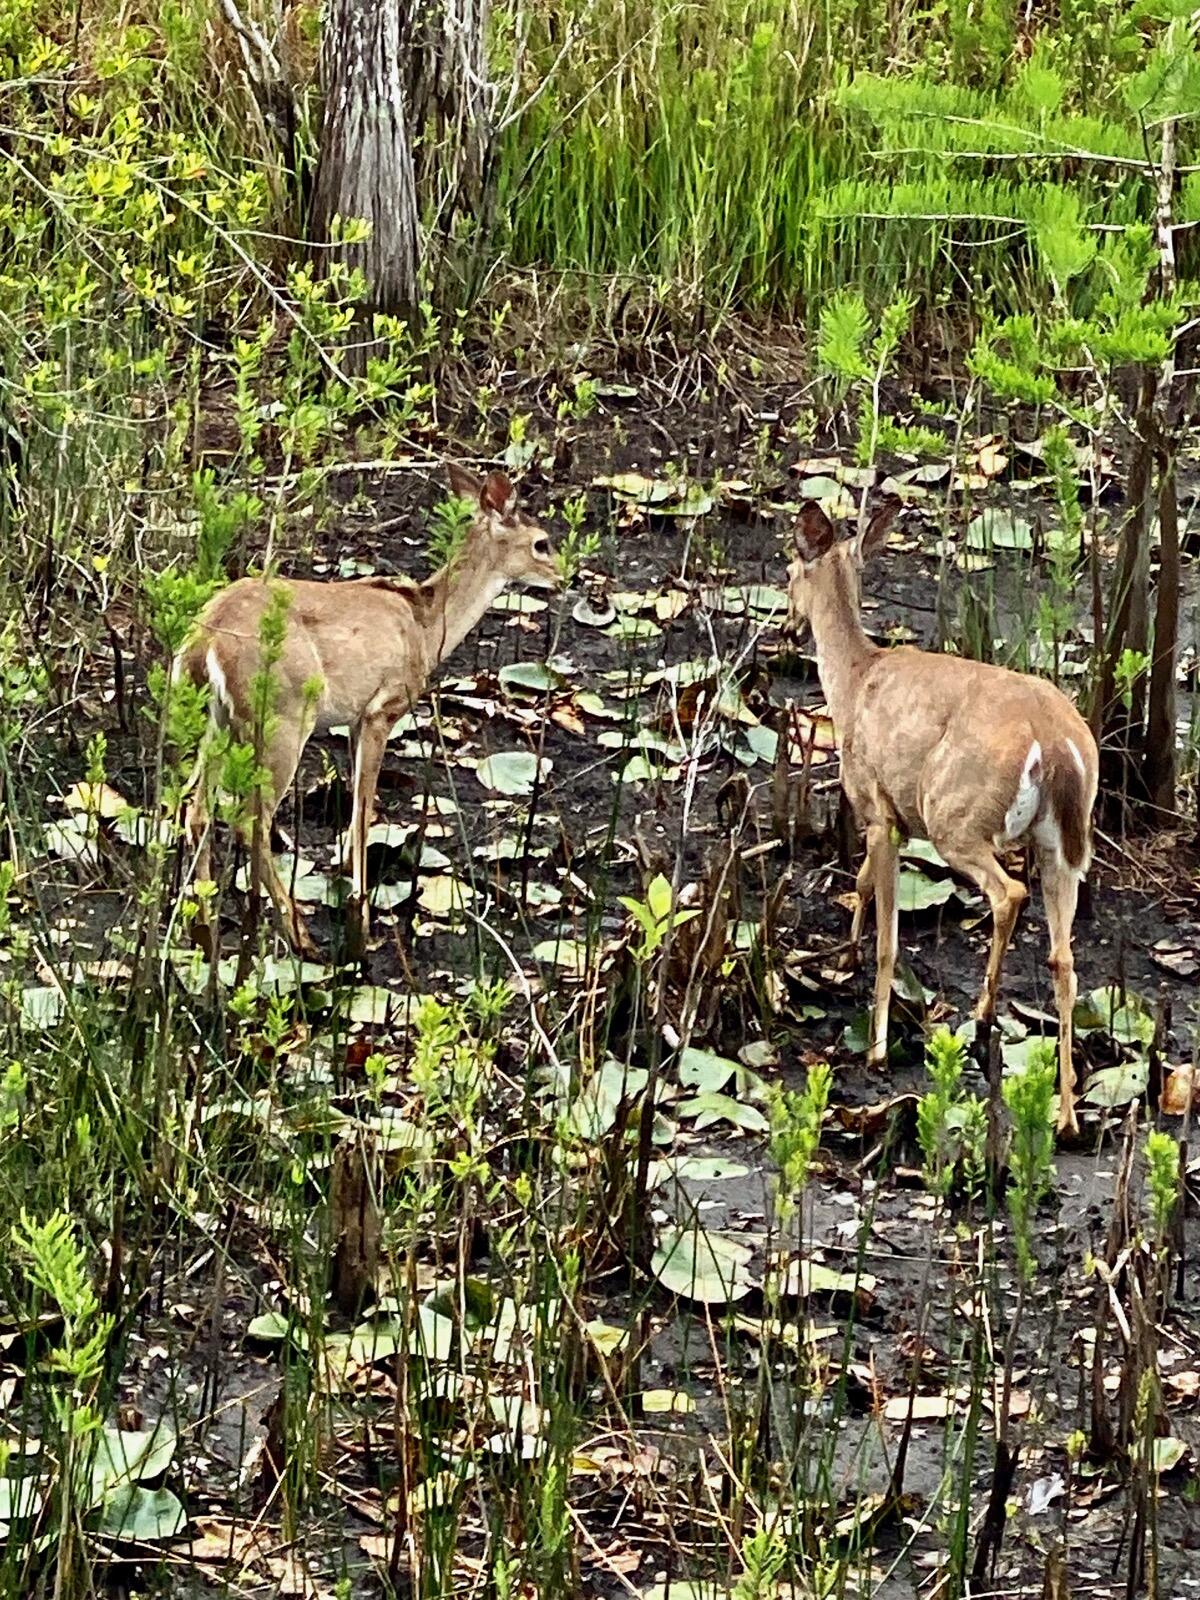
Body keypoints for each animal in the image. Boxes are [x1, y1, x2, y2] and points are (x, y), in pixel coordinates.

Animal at [175, 464, 560, 958]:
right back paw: (299, 937)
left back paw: (203, 932)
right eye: (541, 542)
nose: (566, 576)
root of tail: (205, 638)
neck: (425, 626)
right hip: (282, 717)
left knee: (196, 808)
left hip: (216, 721)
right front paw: (361, 919)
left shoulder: (356, 718)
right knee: (249, 818)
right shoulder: (384, 707)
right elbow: (365, 808)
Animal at [786, 500, 1099, 1137]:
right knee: (1064, 958)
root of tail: (1056, 743)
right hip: (1062, 847)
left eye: (788, 571)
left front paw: (877, 1045)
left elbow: (887, 931)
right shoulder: (893, 818)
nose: (787, 622)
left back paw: (982, 1016)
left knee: (1007, 894)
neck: (854, 681)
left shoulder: (877, 805)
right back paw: (1066, 1115)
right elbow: (862, 884)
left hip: (957, 814)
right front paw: (844, 955)